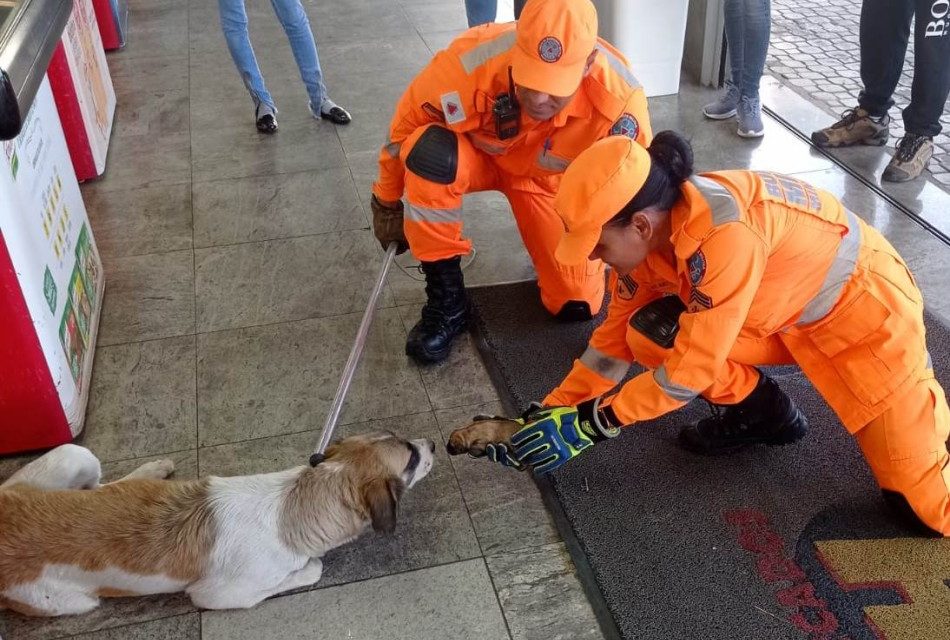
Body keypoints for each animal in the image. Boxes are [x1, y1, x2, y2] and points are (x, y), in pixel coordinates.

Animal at [0, 432, 436, 616]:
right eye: (411, 459)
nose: (433, 443)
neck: (295, 503)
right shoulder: (216, 595)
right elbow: (310, 570)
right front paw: (309, 567)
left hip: (72, 456)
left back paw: (149, 473)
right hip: (68, 601)